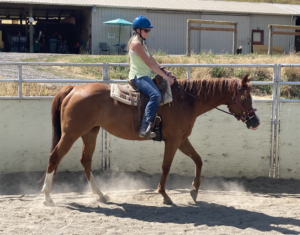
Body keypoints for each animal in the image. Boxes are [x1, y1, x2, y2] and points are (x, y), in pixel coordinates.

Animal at [41, 74, 258, 206]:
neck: (186, 100)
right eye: (245, 98)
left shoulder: (182, 139)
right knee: (54, 157)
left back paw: (100, 194)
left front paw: (194, 190)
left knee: (85, 160)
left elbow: (198, 160)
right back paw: (47, 196)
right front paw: (164, 195)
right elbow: (166, 166)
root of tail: (73, 88)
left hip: (90, 133)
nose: (255, 121)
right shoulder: (173, 141)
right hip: (71, 134)